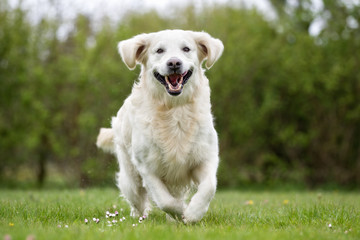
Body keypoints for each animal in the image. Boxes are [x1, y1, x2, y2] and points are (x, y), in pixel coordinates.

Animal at [97, 29, 224, 223]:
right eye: (159, 50)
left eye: (186, 48)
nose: (174, 63)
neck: (174, 109)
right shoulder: (147, 167)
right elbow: (165, 201)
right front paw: (180, 210)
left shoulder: (205, 158)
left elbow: (209, 187)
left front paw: (193, 213)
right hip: (130, 178)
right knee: (137, 201)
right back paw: (138, 216)